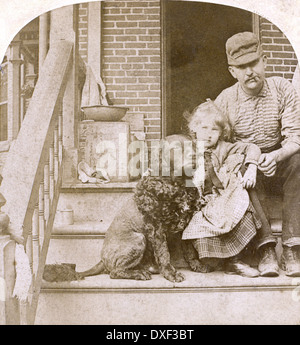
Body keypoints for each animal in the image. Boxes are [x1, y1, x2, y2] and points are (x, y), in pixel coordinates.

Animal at [78, 133, 210, 280]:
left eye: (192, 145)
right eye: (175, 148)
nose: (195, 155)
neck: (177, 185)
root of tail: (102, 259)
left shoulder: (186, 225)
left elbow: (189, 249)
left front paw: (196, 264)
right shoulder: (157, 228)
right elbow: (164, 253)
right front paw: (170, 273)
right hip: (138, 238)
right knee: (115, 271)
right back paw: (139, 273)